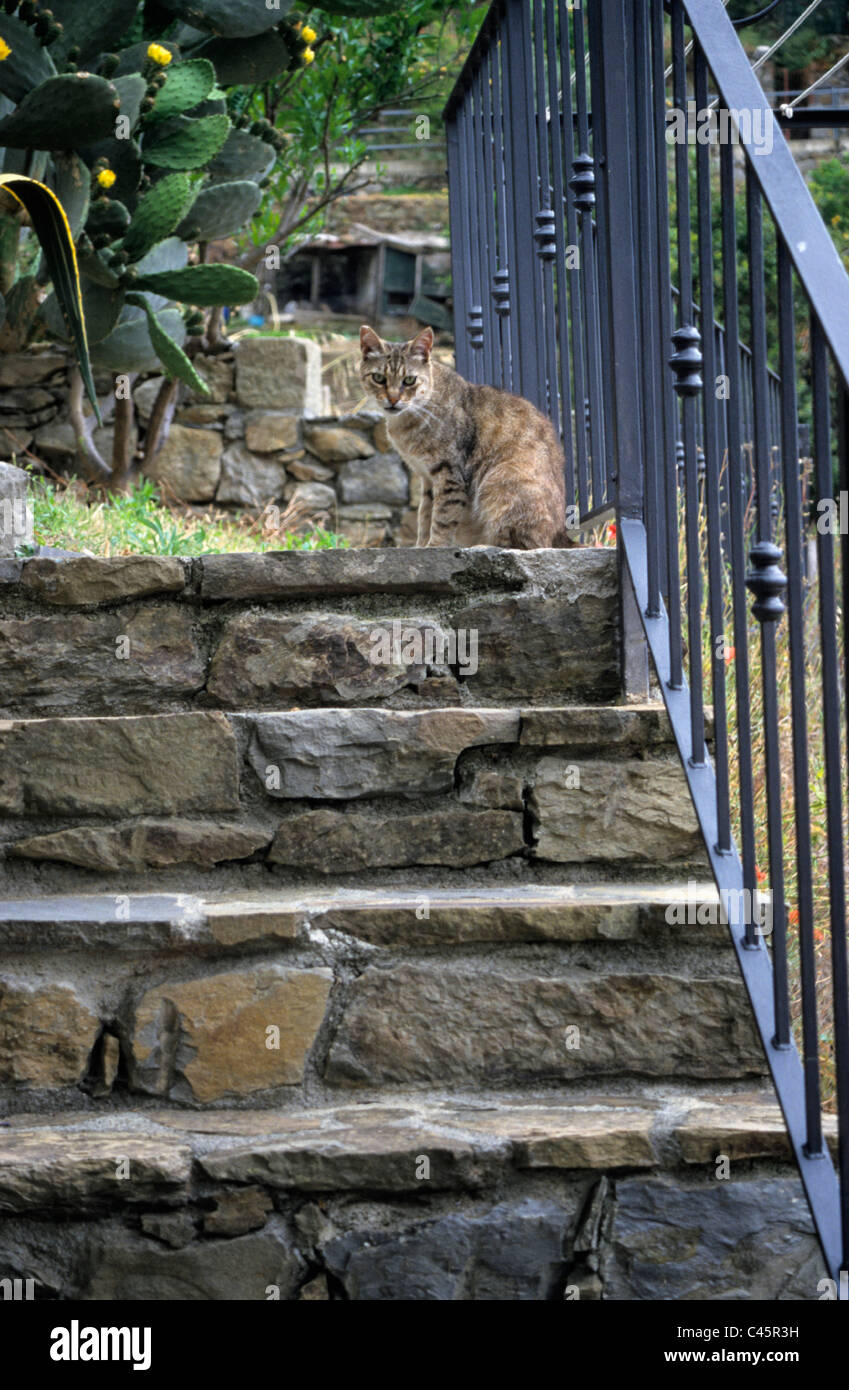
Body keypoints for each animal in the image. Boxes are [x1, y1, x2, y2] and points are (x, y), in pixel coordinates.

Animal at [358, 325, 572, 547]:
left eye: (409, 380)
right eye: (378, 378)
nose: (392, 399)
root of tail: (561, 534)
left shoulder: (449, 474)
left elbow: (442, 519)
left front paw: (434, 546)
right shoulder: (427, 478)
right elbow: (424, 515)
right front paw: (420, 546)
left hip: (500, 484)